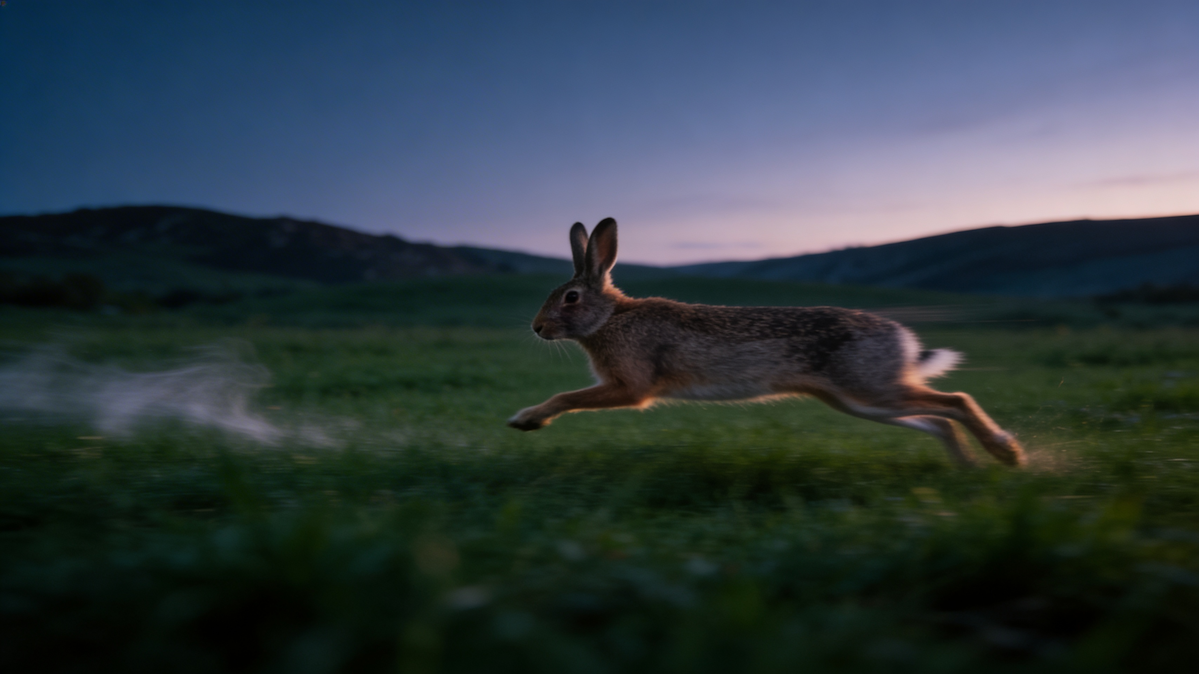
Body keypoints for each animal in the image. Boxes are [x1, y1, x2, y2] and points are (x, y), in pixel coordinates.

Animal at [508, 218, 1027, 467]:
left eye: (570, 297)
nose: (537, 328)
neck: (610, 318)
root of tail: (904, 337)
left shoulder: (630, 387)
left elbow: (567, 397)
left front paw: (526, 419)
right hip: (860, 402)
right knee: (938, 421)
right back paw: (970, 469)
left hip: (872, 388)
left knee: (956, 400)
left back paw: (1007, 453)